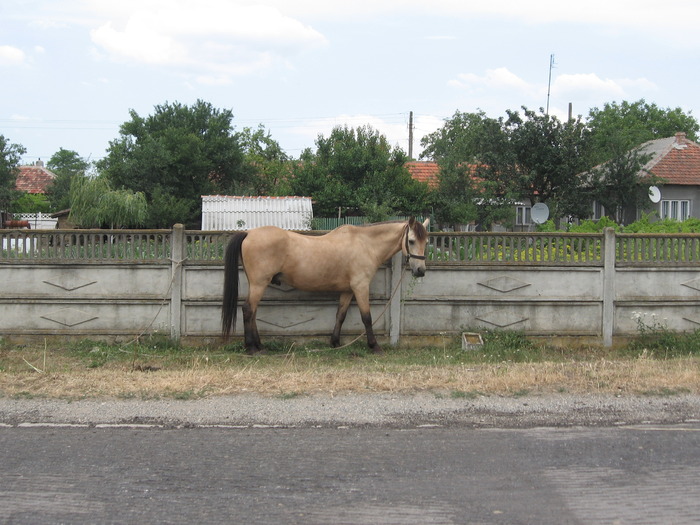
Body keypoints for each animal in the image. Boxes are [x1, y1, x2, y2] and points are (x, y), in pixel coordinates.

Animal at [223, 217, 432, 352]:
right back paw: (251, 348)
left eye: (426, 242)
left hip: (257, 284)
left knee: (253, 312)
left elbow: (340, 315)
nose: (420, 271)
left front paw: (335, 343)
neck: (365, 244)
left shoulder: (348, 290)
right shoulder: (360, 287)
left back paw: (259, 345)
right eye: (411, 241)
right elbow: (367, 318)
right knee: (248, 310)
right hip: (259, 284)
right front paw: (374, 346)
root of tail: (249, 234)